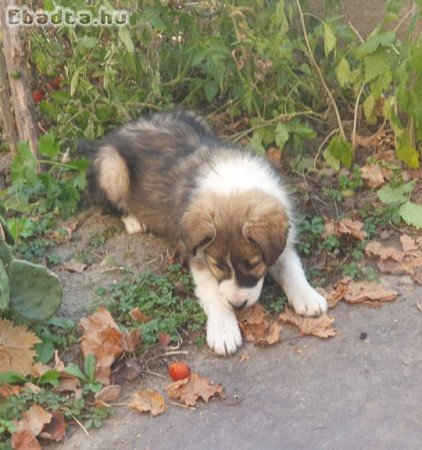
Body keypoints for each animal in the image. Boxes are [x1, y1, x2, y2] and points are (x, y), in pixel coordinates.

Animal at [83, 109, 326, 356]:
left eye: (253, 264)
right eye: (218, 265)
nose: (238, 306)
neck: (233, 183)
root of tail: (118, 131)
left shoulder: (282, 241)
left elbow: (291, 268)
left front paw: (308, 296)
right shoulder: (198, 256)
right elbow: (214, 293)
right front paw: (224, 331)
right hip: (113, 169)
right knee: (107, 204)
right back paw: (133, 219)